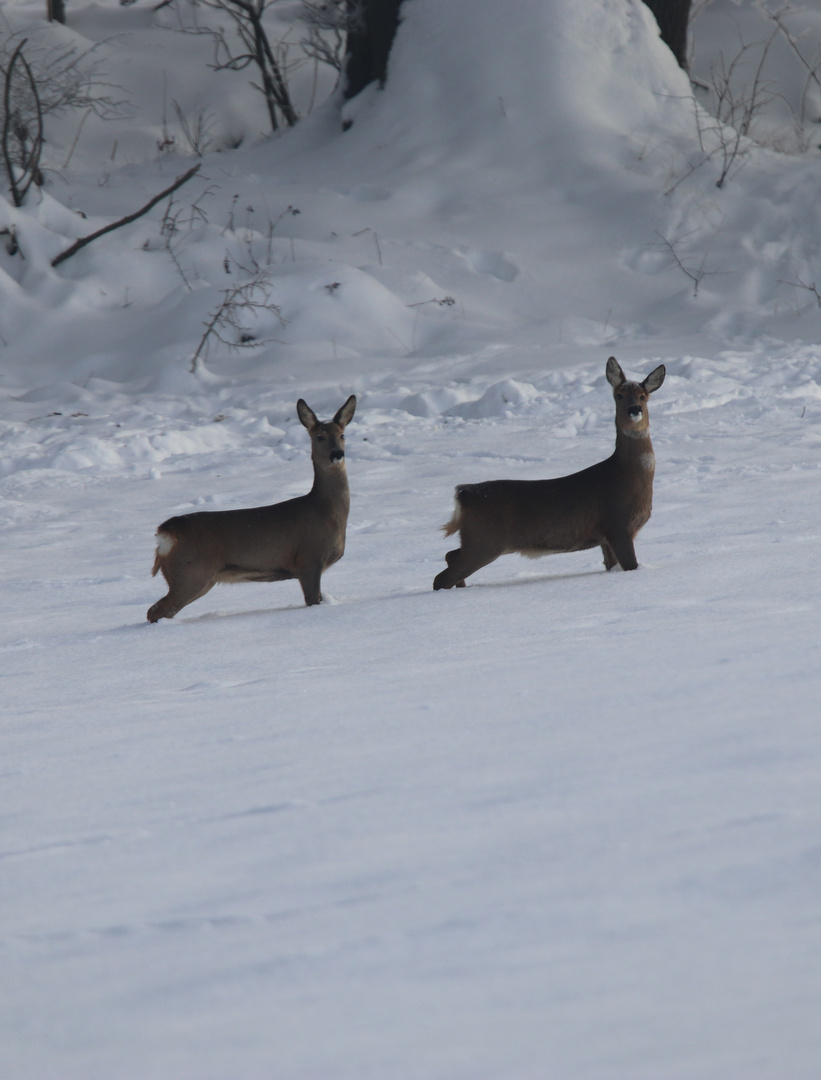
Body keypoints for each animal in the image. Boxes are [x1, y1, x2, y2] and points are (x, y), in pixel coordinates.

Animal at [149, 397, 354, 622]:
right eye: (320, 437)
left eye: (342, 435)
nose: (337, 454)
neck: (323, 510)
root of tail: (165, 532)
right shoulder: (308, 558)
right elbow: (312, 600)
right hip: (191, 572)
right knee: (156, 611)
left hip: (198, 577)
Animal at [432, 356, 665, 591]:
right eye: (619, 395)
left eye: (643, 396)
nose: (634, 410)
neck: (626, 476)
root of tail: (463, 494)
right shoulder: (618, 525)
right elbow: (631, 566)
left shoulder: (604, 538)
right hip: (484, 541)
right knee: (441, 577)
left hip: (477, 540)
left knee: (450, 555)